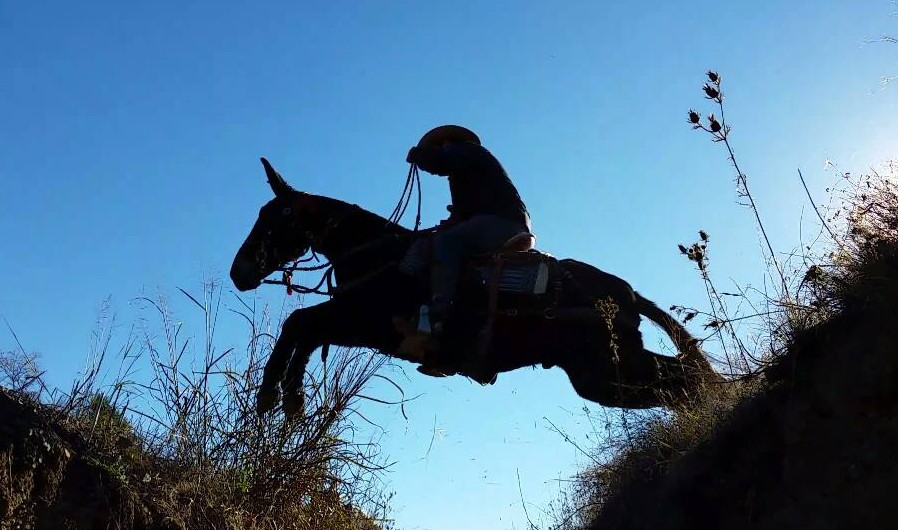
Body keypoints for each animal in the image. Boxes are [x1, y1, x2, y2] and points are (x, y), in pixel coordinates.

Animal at [229, 157, 720, 416]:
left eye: (274, 217)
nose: (239, 271)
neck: (380, 256)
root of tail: (626, 292)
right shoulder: (356, 326)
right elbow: (308, 331)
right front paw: (291, 397)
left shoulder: (363, 319)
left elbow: (300, 322)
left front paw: (273, 394)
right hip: (604, 374)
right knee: (683, 379)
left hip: (607, 371)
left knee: (688, 378)